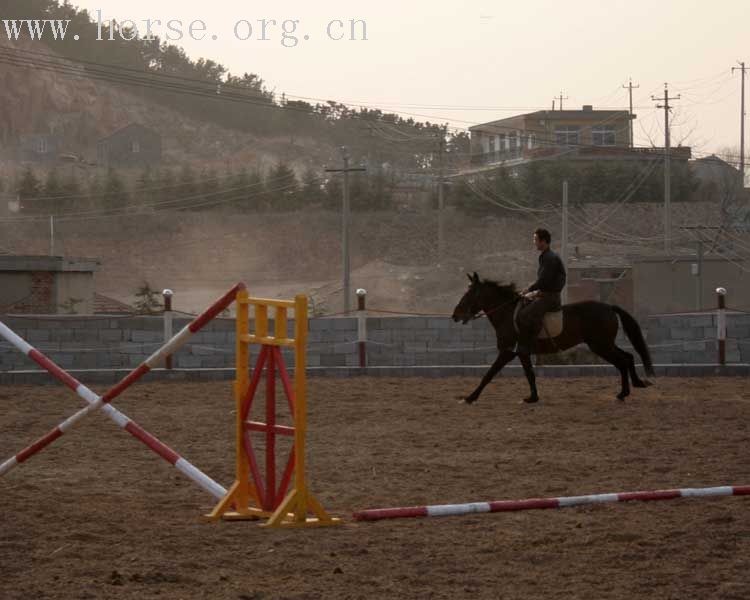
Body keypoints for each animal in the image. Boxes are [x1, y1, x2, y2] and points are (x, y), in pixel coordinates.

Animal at [452, 274, 652, 406]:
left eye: (468, 295)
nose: (455, 315)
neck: (507, 314)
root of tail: (609, 307)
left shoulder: (508, 351)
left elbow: (489, 374)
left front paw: (470, 397)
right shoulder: (521, 353)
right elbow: (529, 374)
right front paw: (532, 397)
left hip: (601, 345)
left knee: (623, 361)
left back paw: (624, 392)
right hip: (605, 344)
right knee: (627, 358)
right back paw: (634, 386)